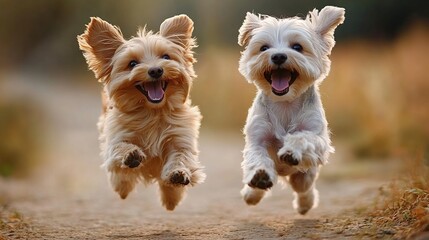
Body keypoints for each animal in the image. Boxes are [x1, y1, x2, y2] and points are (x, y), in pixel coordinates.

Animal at [237, 6, 344, 214]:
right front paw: (259, 176)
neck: (284, 103)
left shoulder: (317, 136)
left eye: (297, 47)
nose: (278, 56)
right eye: (264, 48)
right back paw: (252, 193)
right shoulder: (257, 137)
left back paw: (305, 204)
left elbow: (303, 137)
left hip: (304, 176)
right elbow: (257, 156)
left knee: (304, 187)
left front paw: (291, 151)